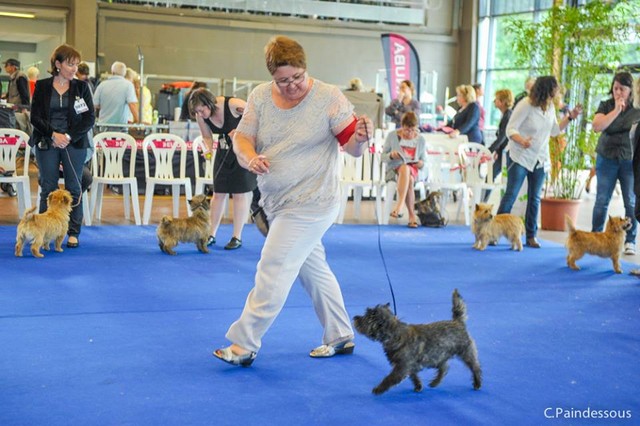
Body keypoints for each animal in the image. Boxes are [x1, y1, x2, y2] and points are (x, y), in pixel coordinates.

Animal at [352, 290, 482, 396]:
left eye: (367, 316)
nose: (355, 318)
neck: (394, 334)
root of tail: (457, 322)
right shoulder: (409, 366)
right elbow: (413, 376)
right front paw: (418, 386)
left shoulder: (402, 367)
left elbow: (389, 378)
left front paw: (378, 389)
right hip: (438, 357)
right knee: (444, 368)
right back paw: (435, 382)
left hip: (465, 352)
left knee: (475, 367)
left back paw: (477, 383)